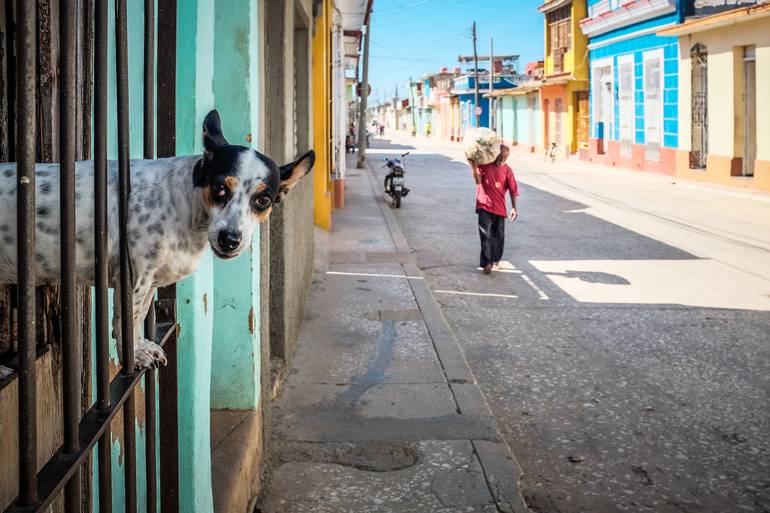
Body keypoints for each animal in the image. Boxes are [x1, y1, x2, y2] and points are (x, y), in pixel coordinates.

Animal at [0, 109, 316, 372]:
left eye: (263, 200)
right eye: (219, 188)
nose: (230, 239)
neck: (183, 205)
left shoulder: (148, 282)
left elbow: (139, 316)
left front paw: (141, 346)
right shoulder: (134, 278)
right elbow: (126, 321)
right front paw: (133, 355)